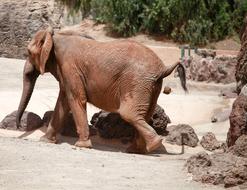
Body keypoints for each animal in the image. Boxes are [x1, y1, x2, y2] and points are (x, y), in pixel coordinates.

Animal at [15, 27, 187, 154]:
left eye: (28, 53)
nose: (17, 127)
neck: (55, 36)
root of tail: (163, 68)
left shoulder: (70, 67)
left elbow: (75, 99)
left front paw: (81, 146)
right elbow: (63, 102)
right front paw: (45, 141)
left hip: (137, 82)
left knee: (129, 113)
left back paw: (152, 146)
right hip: (150, 85)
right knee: (144, 114)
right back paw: (136, 150)